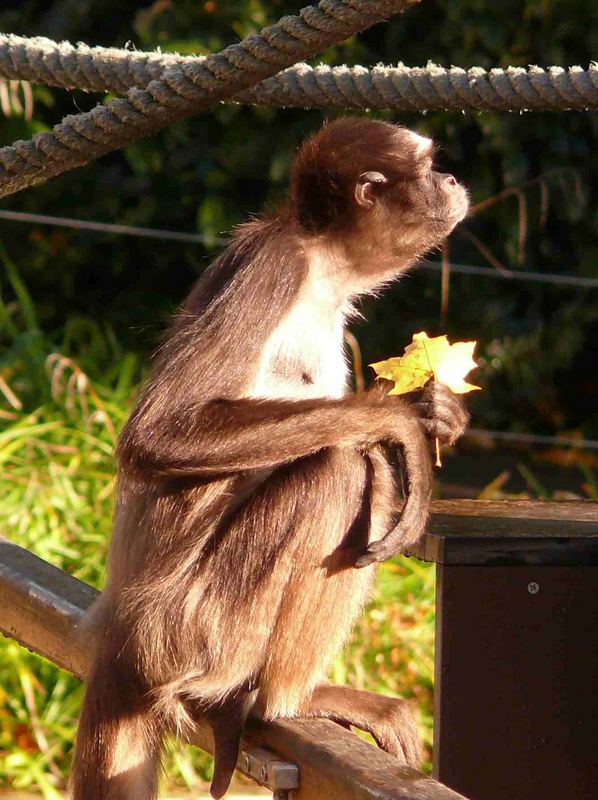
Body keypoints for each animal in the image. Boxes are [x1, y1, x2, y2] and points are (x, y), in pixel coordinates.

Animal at [70, 114, 472, 800]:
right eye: (426, 169)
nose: (449, 180)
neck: (319, 265)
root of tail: (121, 633)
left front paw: (437, 410)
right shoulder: (276, 265)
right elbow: (155, 434)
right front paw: (403, 417)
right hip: (194, 628)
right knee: (344, 469)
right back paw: (285, 701)